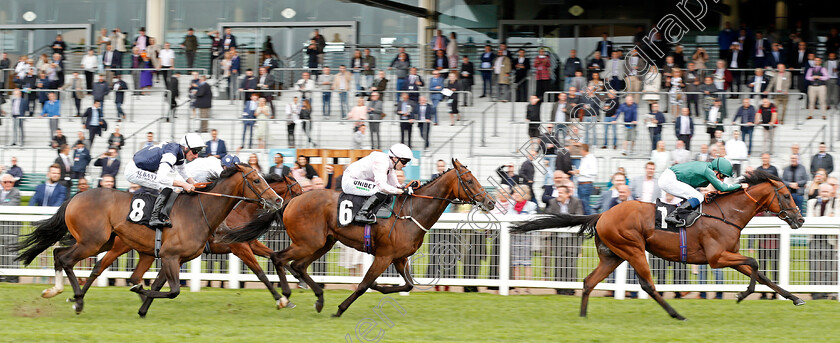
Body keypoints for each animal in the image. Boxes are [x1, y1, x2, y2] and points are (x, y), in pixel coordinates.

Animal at [14, 164, 282, 318]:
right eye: (256, 180)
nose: (278, 200)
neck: (199, 210)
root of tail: (75, 197)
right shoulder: (171, 256)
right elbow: (171, 291)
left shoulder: (172, 258)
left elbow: (155, 286)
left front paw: (142, 307)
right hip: (93, 242)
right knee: (68, 260)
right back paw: (75, 298)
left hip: (103, 242)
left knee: (61, 254)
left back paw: (62, 292)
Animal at [217, 160, 496, 318]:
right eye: (469, 180)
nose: (491, 201)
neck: (412, 212)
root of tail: (291, 201)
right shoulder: (384, 256)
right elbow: (363, 285)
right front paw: (341, 309)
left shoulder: (400, 258)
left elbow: (406, 285)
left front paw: (382, 288)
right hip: (308, 242)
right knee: (279, 258)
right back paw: (285, 295)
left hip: (324, 243)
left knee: (298, 266)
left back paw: (318, 297)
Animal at [512, 171, 808, 322]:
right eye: (785, 195)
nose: (800, 219)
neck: (727, 214)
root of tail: (602, 214)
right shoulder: (717, 257)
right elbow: (756, 264)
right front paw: (742, 294)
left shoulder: (729, 254)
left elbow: (764, 275)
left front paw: (795, 297)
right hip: (632, 249)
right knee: (647, 285)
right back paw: (677, 314)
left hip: (613, 256)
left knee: (589, 281)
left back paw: (583, 316)